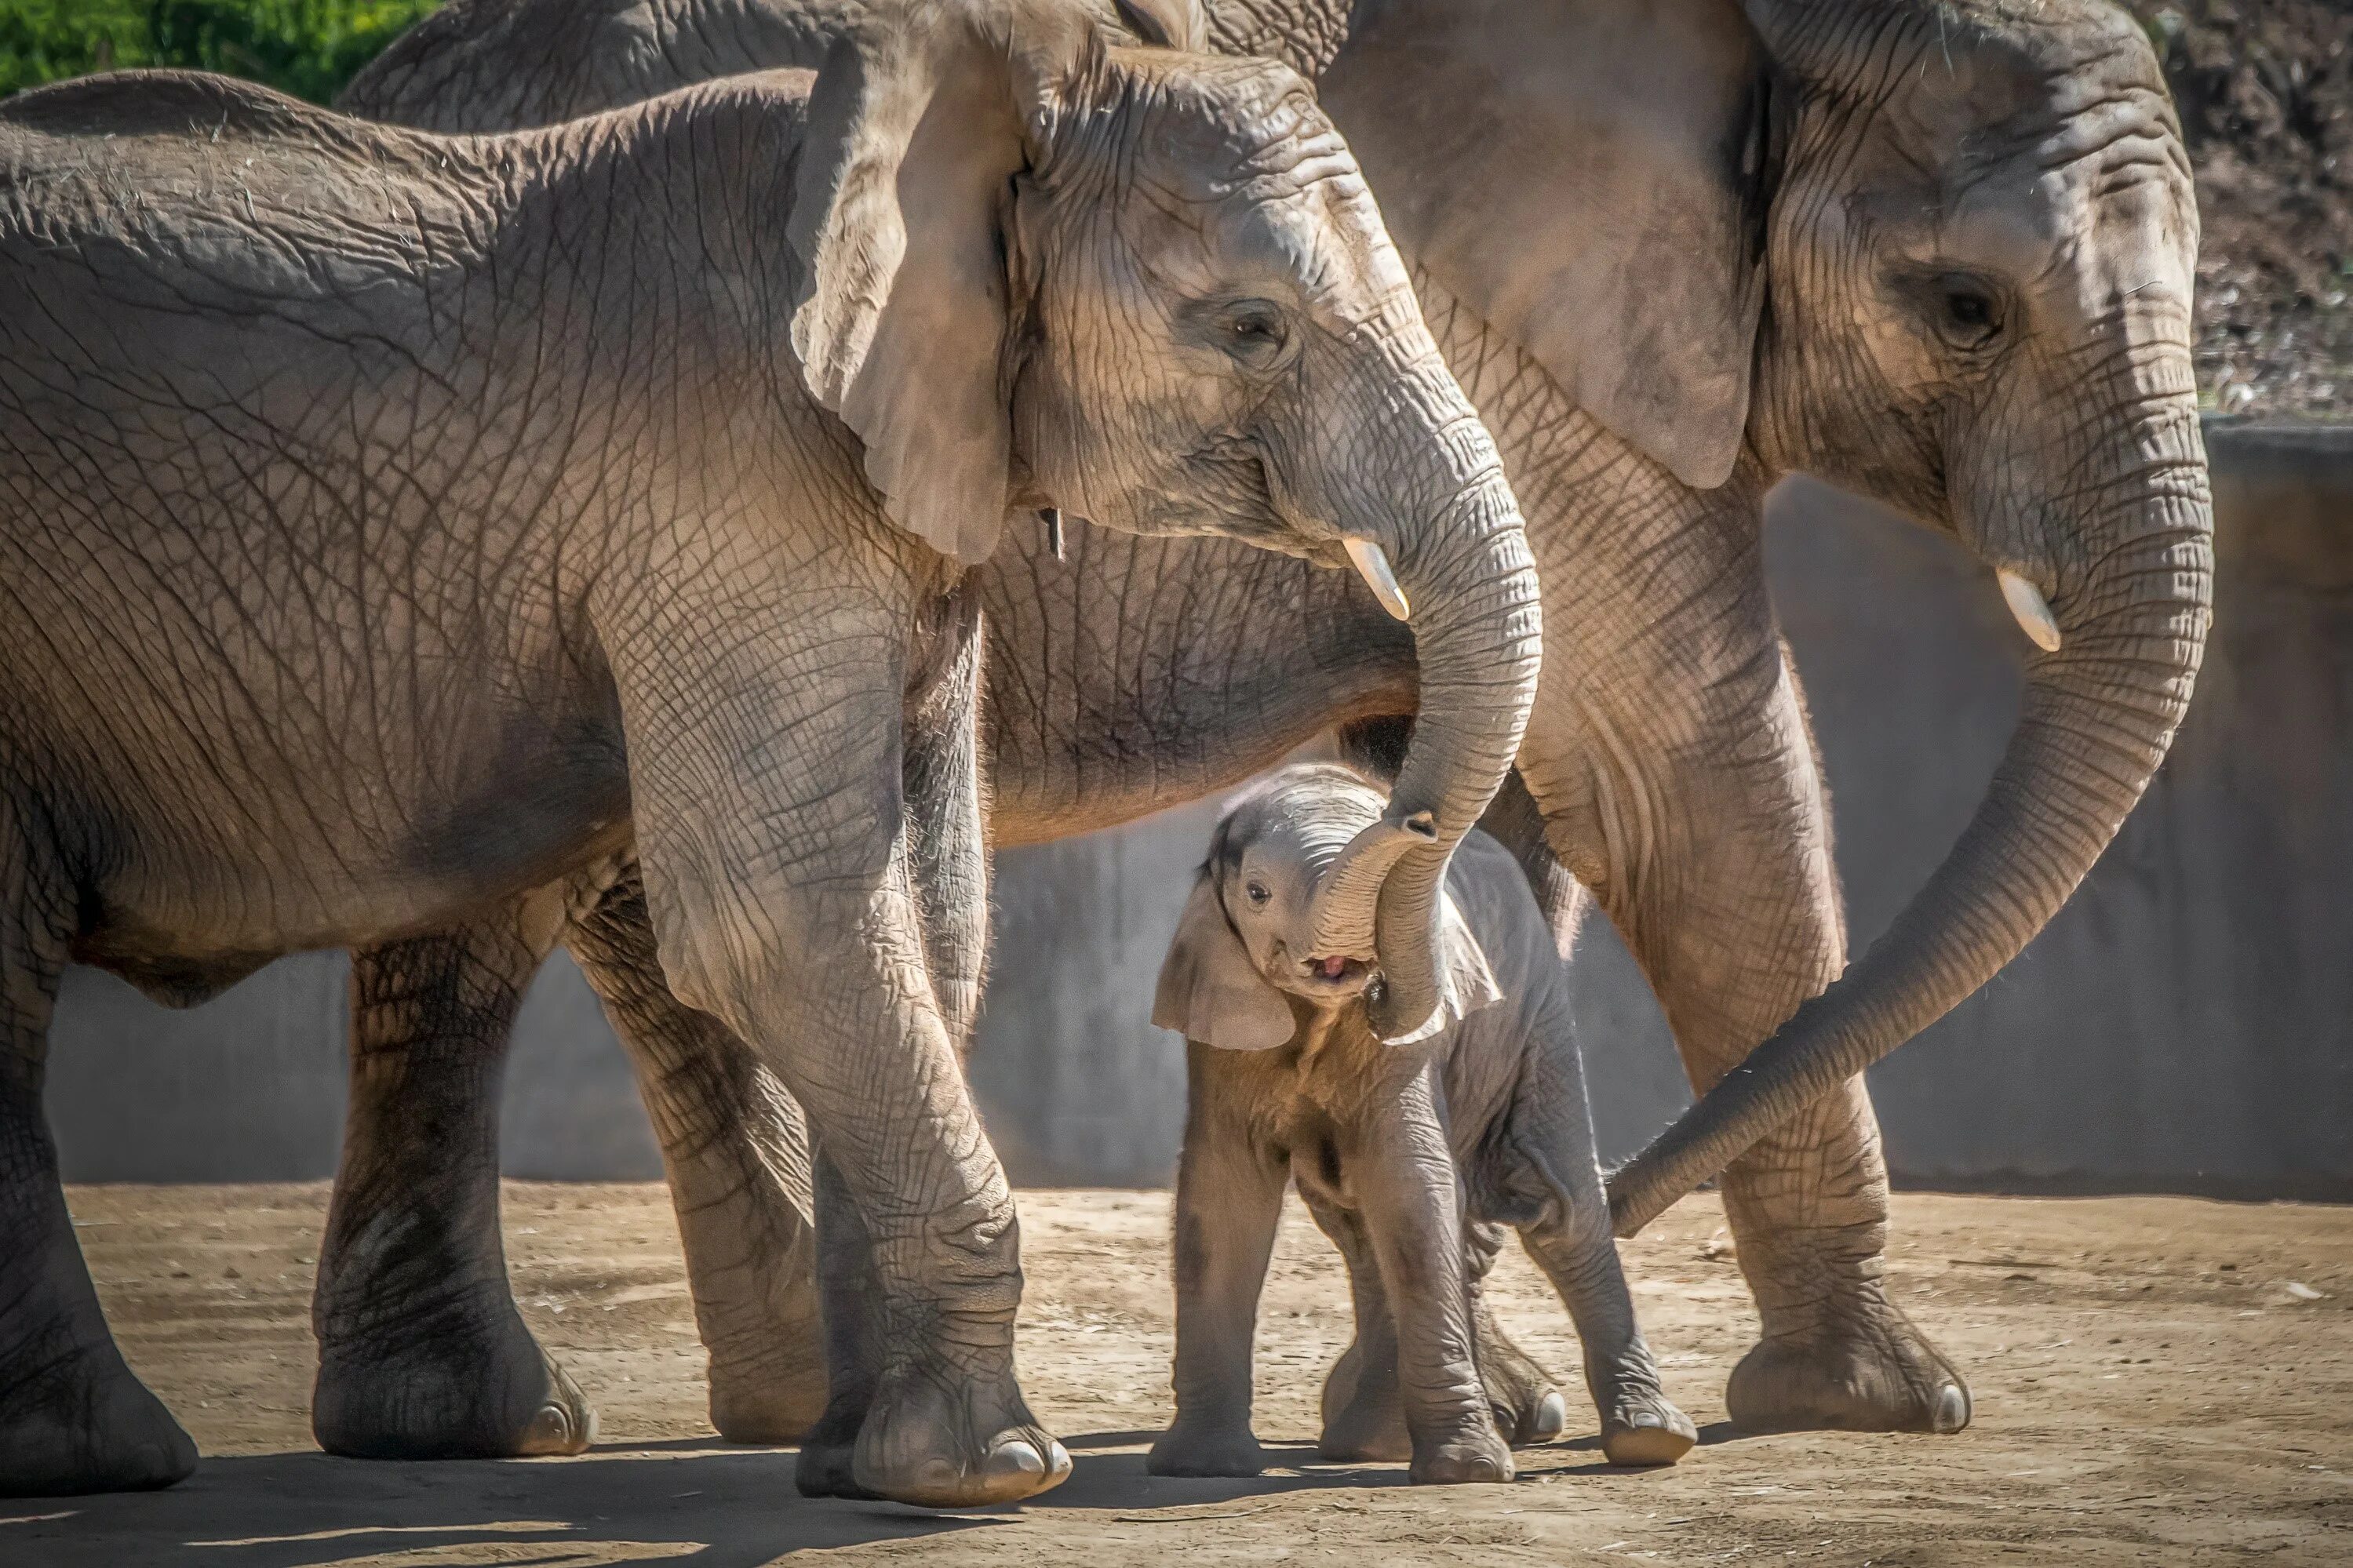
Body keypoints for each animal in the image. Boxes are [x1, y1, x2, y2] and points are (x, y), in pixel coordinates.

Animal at [0, 0, 1543, 1504]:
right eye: (1250, 327)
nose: (1390, 808)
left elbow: (921, 917)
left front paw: (852, 1459)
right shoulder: (732, 481)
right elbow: (785, 911)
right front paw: (983, 1471)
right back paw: (108, 1456)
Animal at [1143, 771, 1685, 1486]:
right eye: (1256, 893)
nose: (1419, 822)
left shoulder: (1408, 1050)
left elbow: (1410, 1183)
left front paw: (1468, 1471)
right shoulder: (1223, 1039)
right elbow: (1223, 1197)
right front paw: (1200, 1467)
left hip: (1538, 1008)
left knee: (1563, 1209)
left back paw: (1650, 1438)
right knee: (1357, 1226)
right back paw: (1369, 1444)